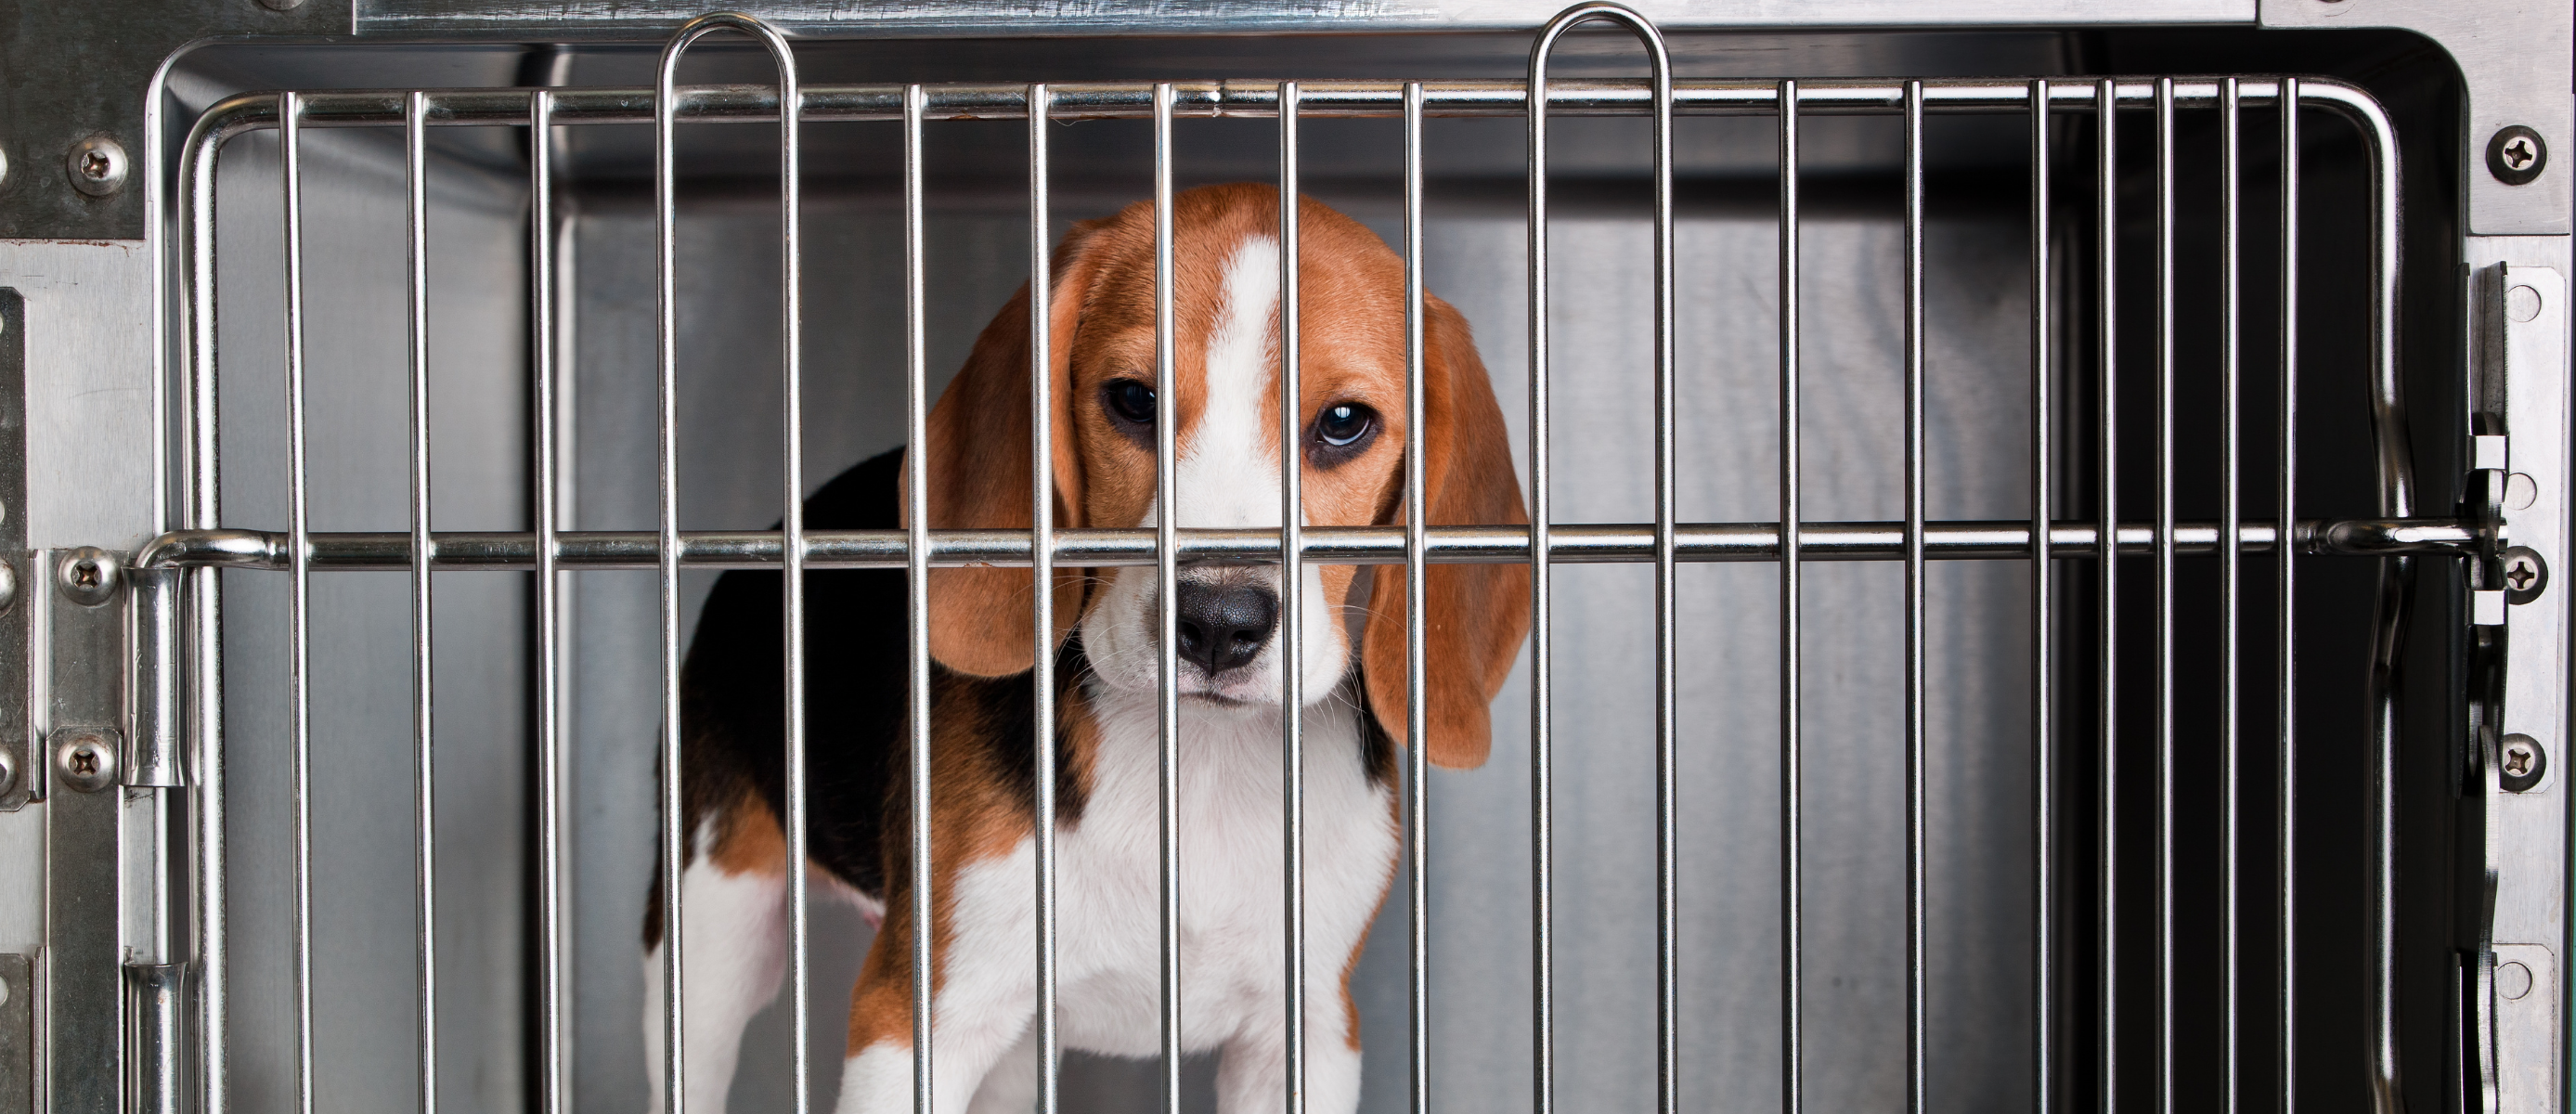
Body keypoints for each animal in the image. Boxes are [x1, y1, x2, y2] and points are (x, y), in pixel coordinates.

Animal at [643, 183, 1524, 1114]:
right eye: (1133, 400)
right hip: (708, 930)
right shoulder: (914, 1018)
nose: (1219, 619)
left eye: (1346, 422)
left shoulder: (1309, 1032)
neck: (1196, 761)